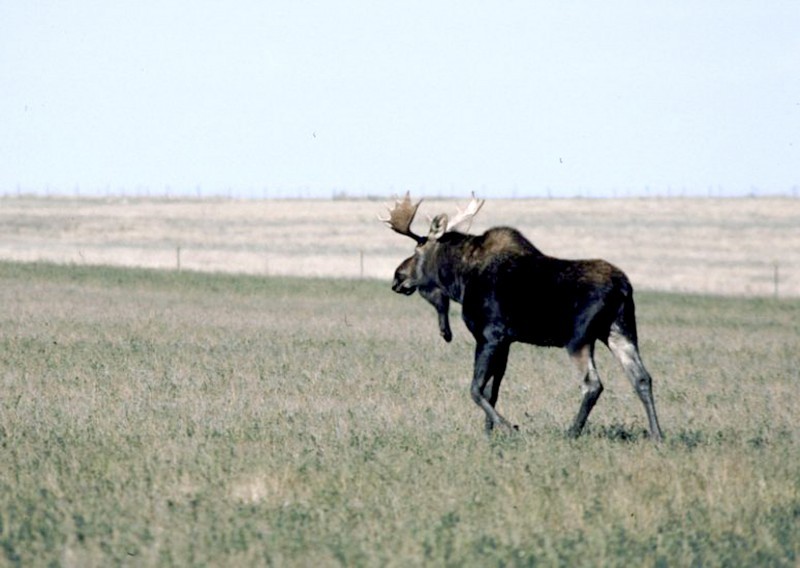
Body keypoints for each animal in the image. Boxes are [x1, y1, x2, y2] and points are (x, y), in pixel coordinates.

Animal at [380, 193, 664, 441]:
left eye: (417, 249)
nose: (397, 277)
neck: (460, 281)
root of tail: (623, 288)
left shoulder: (489, 336)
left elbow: (475, 389)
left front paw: (509, 429)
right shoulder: (505, 342)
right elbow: (491, 391)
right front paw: (488, 434)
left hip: (579, 339)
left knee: (593, 384)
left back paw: (571, 433)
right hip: (619, 332)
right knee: (642, 378)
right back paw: (657, 435)